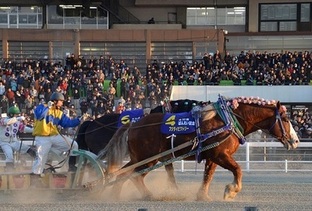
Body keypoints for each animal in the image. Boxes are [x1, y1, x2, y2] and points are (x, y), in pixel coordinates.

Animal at [105, 95, 300, 201]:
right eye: (285, 119)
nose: (296, 140)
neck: (227, 120)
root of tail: (133, 125)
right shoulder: (221, 155)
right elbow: (237, 170)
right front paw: (231, 191)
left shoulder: (213, 156)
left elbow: (208, 176)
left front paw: (203, 196)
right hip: (149, 159)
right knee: (133, 176)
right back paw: (147, 195)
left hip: (141, 159)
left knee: (123, 175)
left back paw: (114, 194)